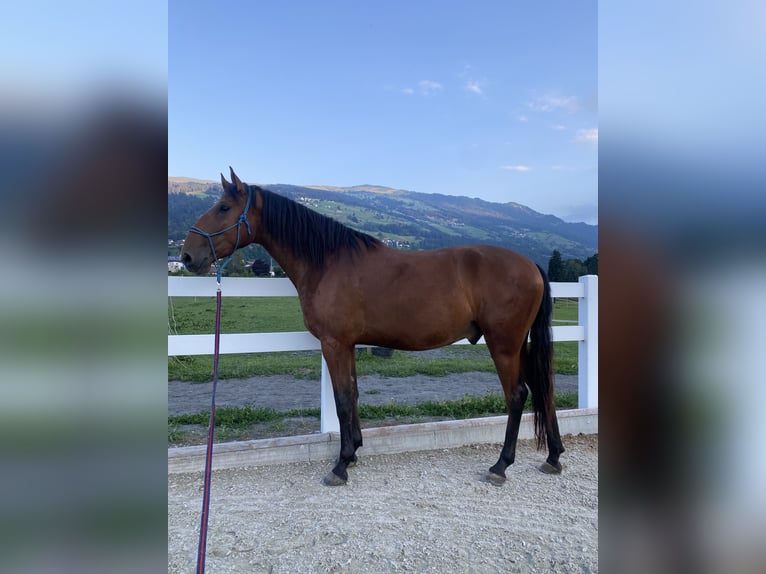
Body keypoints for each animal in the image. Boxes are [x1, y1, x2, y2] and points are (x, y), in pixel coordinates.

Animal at [181, 168, 565, 486]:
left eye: (224, 208)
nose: (187, 256)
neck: (328, 261)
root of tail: (531, 264)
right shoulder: (348, 345)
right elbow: (352, 394)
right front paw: (353, 452)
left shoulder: (334, 343)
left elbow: (341, 399)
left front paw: (340, 465)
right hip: (520, 345)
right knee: (542, 388)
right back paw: (553, 457)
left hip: (504, 345)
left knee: (517, 395)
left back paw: (501, 465)